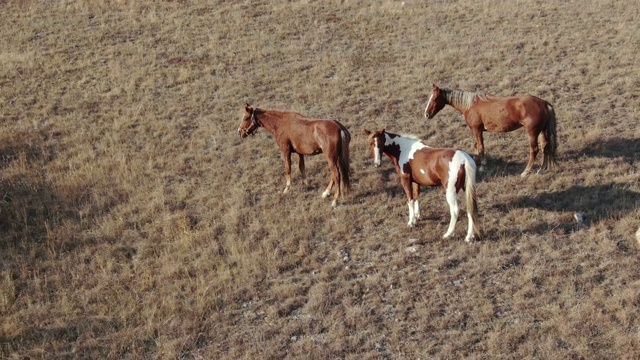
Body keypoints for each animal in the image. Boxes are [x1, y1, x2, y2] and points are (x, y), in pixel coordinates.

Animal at [424, 83, 556, 176]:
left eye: (434, 98)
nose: (427, 114)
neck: (470, 105)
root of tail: (544, 103)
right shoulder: (475, 130)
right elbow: (476, 146)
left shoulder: (477, 130)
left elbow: (481, 147)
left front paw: (482, 166)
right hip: (541, 131)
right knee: (545, 147)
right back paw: (541, 170)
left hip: (532, 133)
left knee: (534, 150)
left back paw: (526, 172)